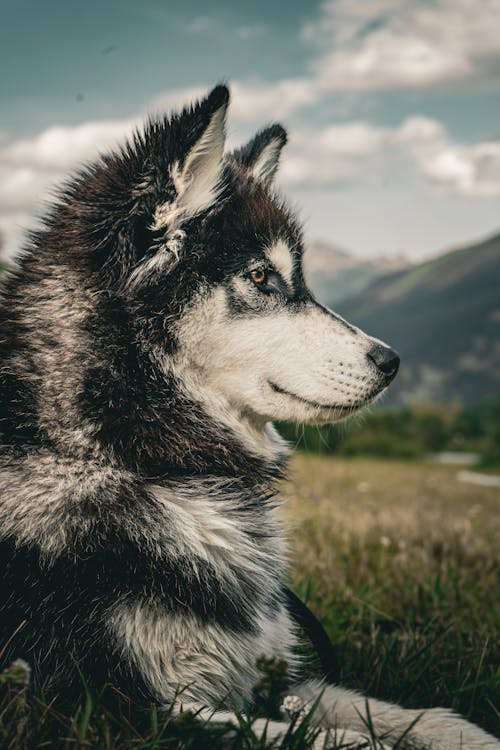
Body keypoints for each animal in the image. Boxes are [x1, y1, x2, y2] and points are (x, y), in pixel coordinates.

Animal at [0, 85, 498, 748]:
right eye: (262, 276)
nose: (392, 362)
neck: (142, 457)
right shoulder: (111, 709)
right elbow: (307, 737)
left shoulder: (273, 678)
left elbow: (414, 716)